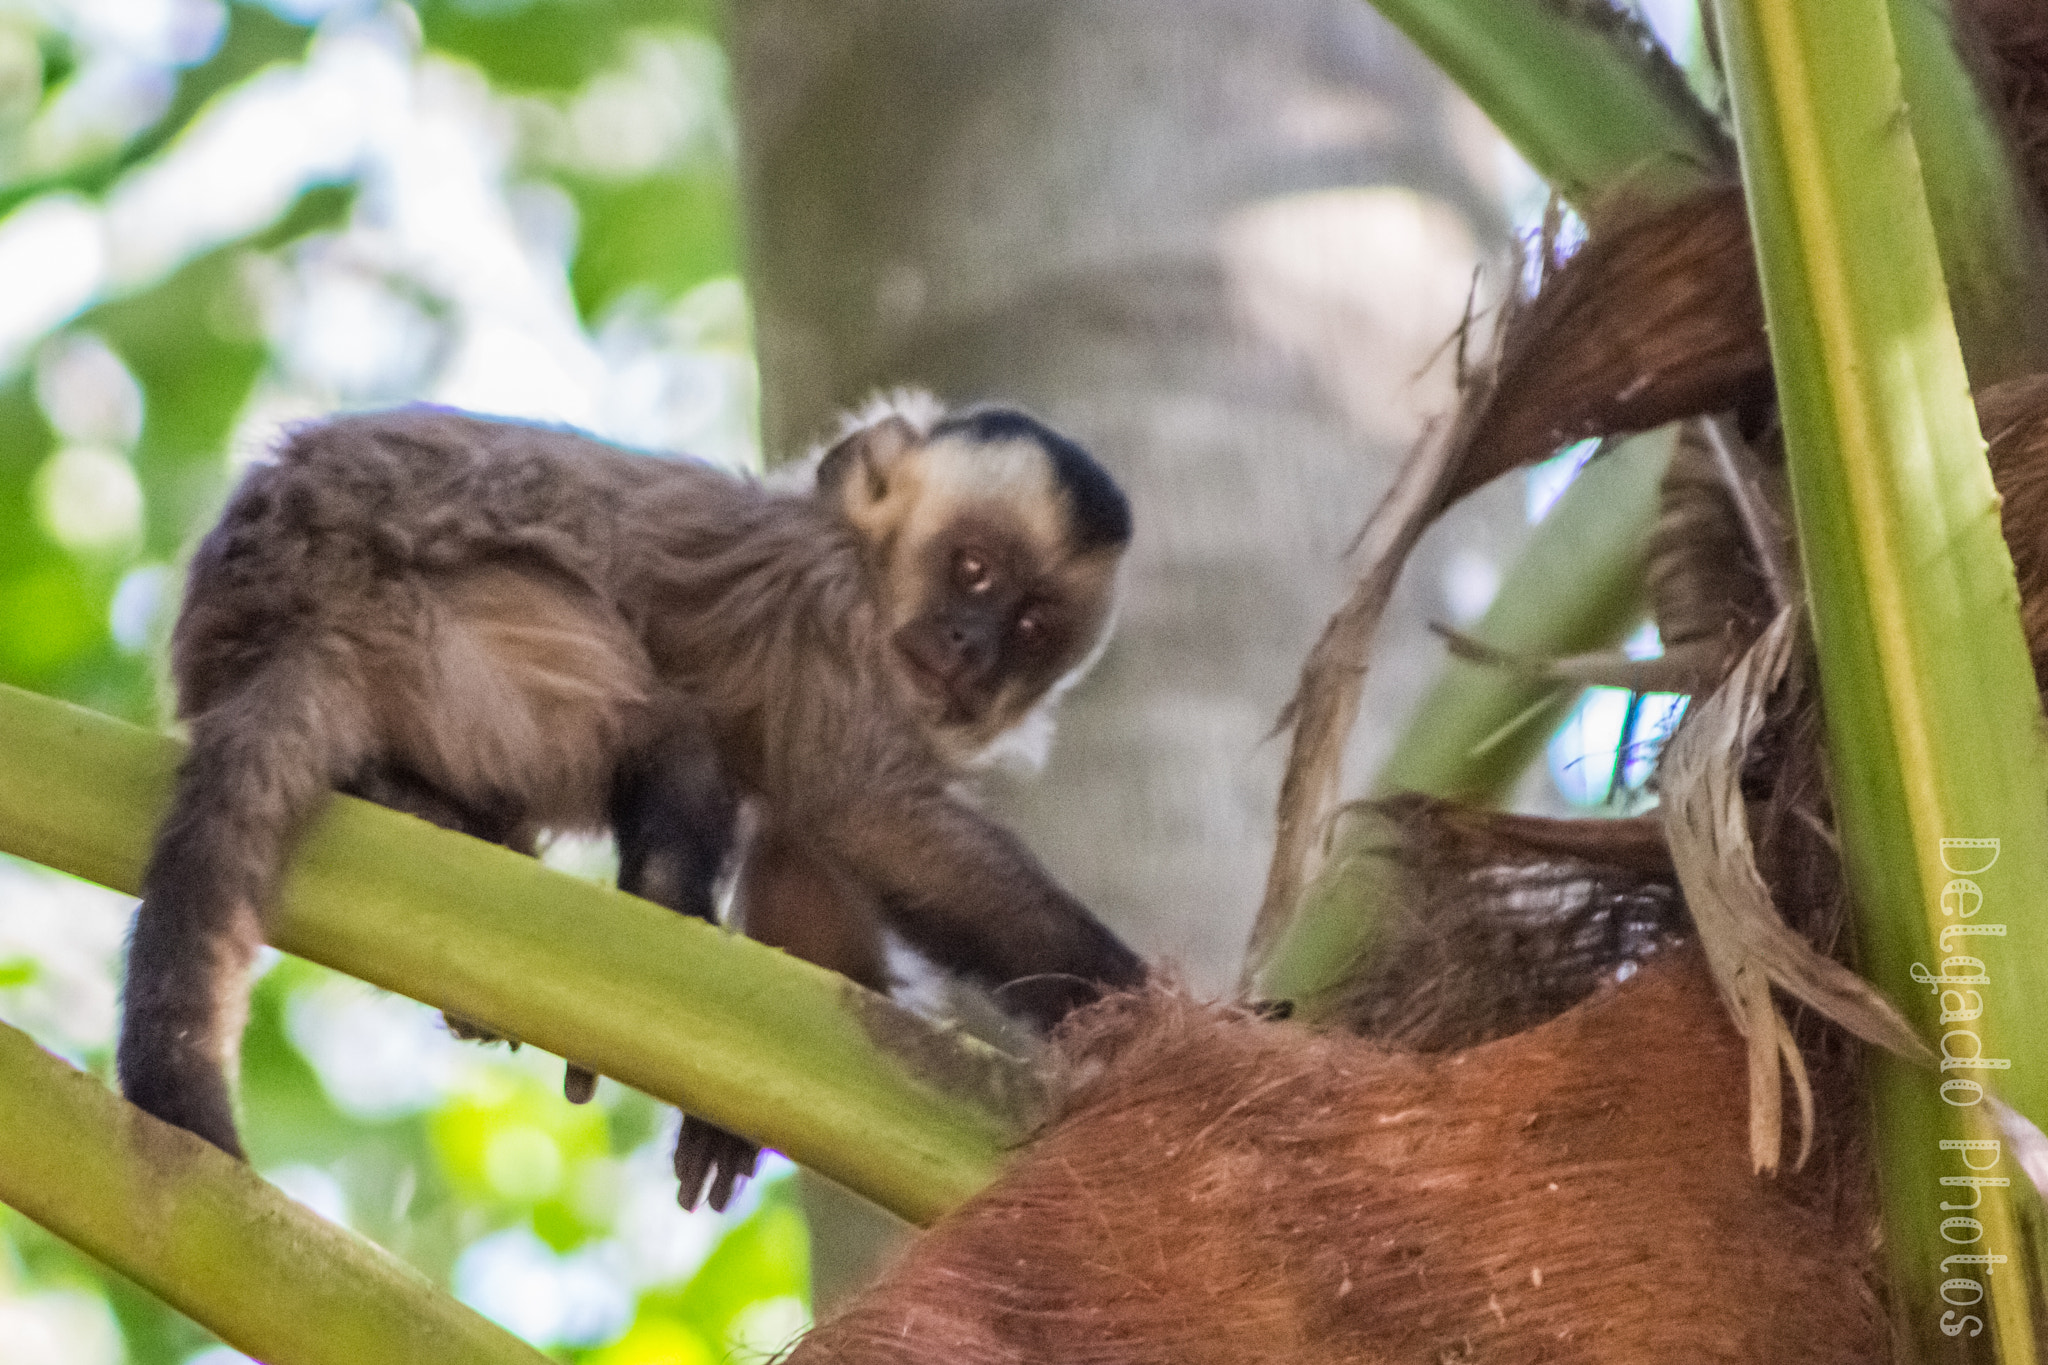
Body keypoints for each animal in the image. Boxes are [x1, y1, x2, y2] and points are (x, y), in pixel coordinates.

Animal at [118, 395, 1145, 1211]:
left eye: (1030, 626)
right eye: (972, 570)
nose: (974, 645)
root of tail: (295, 616)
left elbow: (825, 902)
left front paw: (730, 1115)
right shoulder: (819, 602)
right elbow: (868, 813)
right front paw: (1136, 1001)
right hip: (441, 632)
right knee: (660, 715)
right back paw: (656, 891)